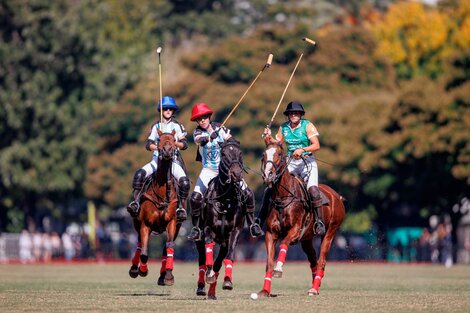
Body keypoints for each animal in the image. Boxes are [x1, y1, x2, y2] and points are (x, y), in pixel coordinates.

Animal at [129, 129, 182, 286]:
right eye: (159, 140)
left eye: (173, 140)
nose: (167, 150)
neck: (162, 191)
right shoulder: (145, 224)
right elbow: (144, 253)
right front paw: (142, 270)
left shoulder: (172, 223)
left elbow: (169, 246)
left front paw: (168, 276)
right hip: (137, 223)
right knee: (140, 243)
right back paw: (134, 269)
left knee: (166, 247)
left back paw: (163, 276)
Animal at [258, 135, 346, 296]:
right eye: (263, 155)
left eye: (279, 154)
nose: (268, 175)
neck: (283, 197)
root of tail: (337, 196)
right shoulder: (270, 233)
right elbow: (268, 262)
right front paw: (264, 290)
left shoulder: (295, 230)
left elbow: (284, 243)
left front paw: (278, 269)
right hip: (307, 239)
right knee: (314, 261)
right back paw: (315, 285)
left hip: (331, 231)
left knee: (322, 260)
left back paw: (314, 289)